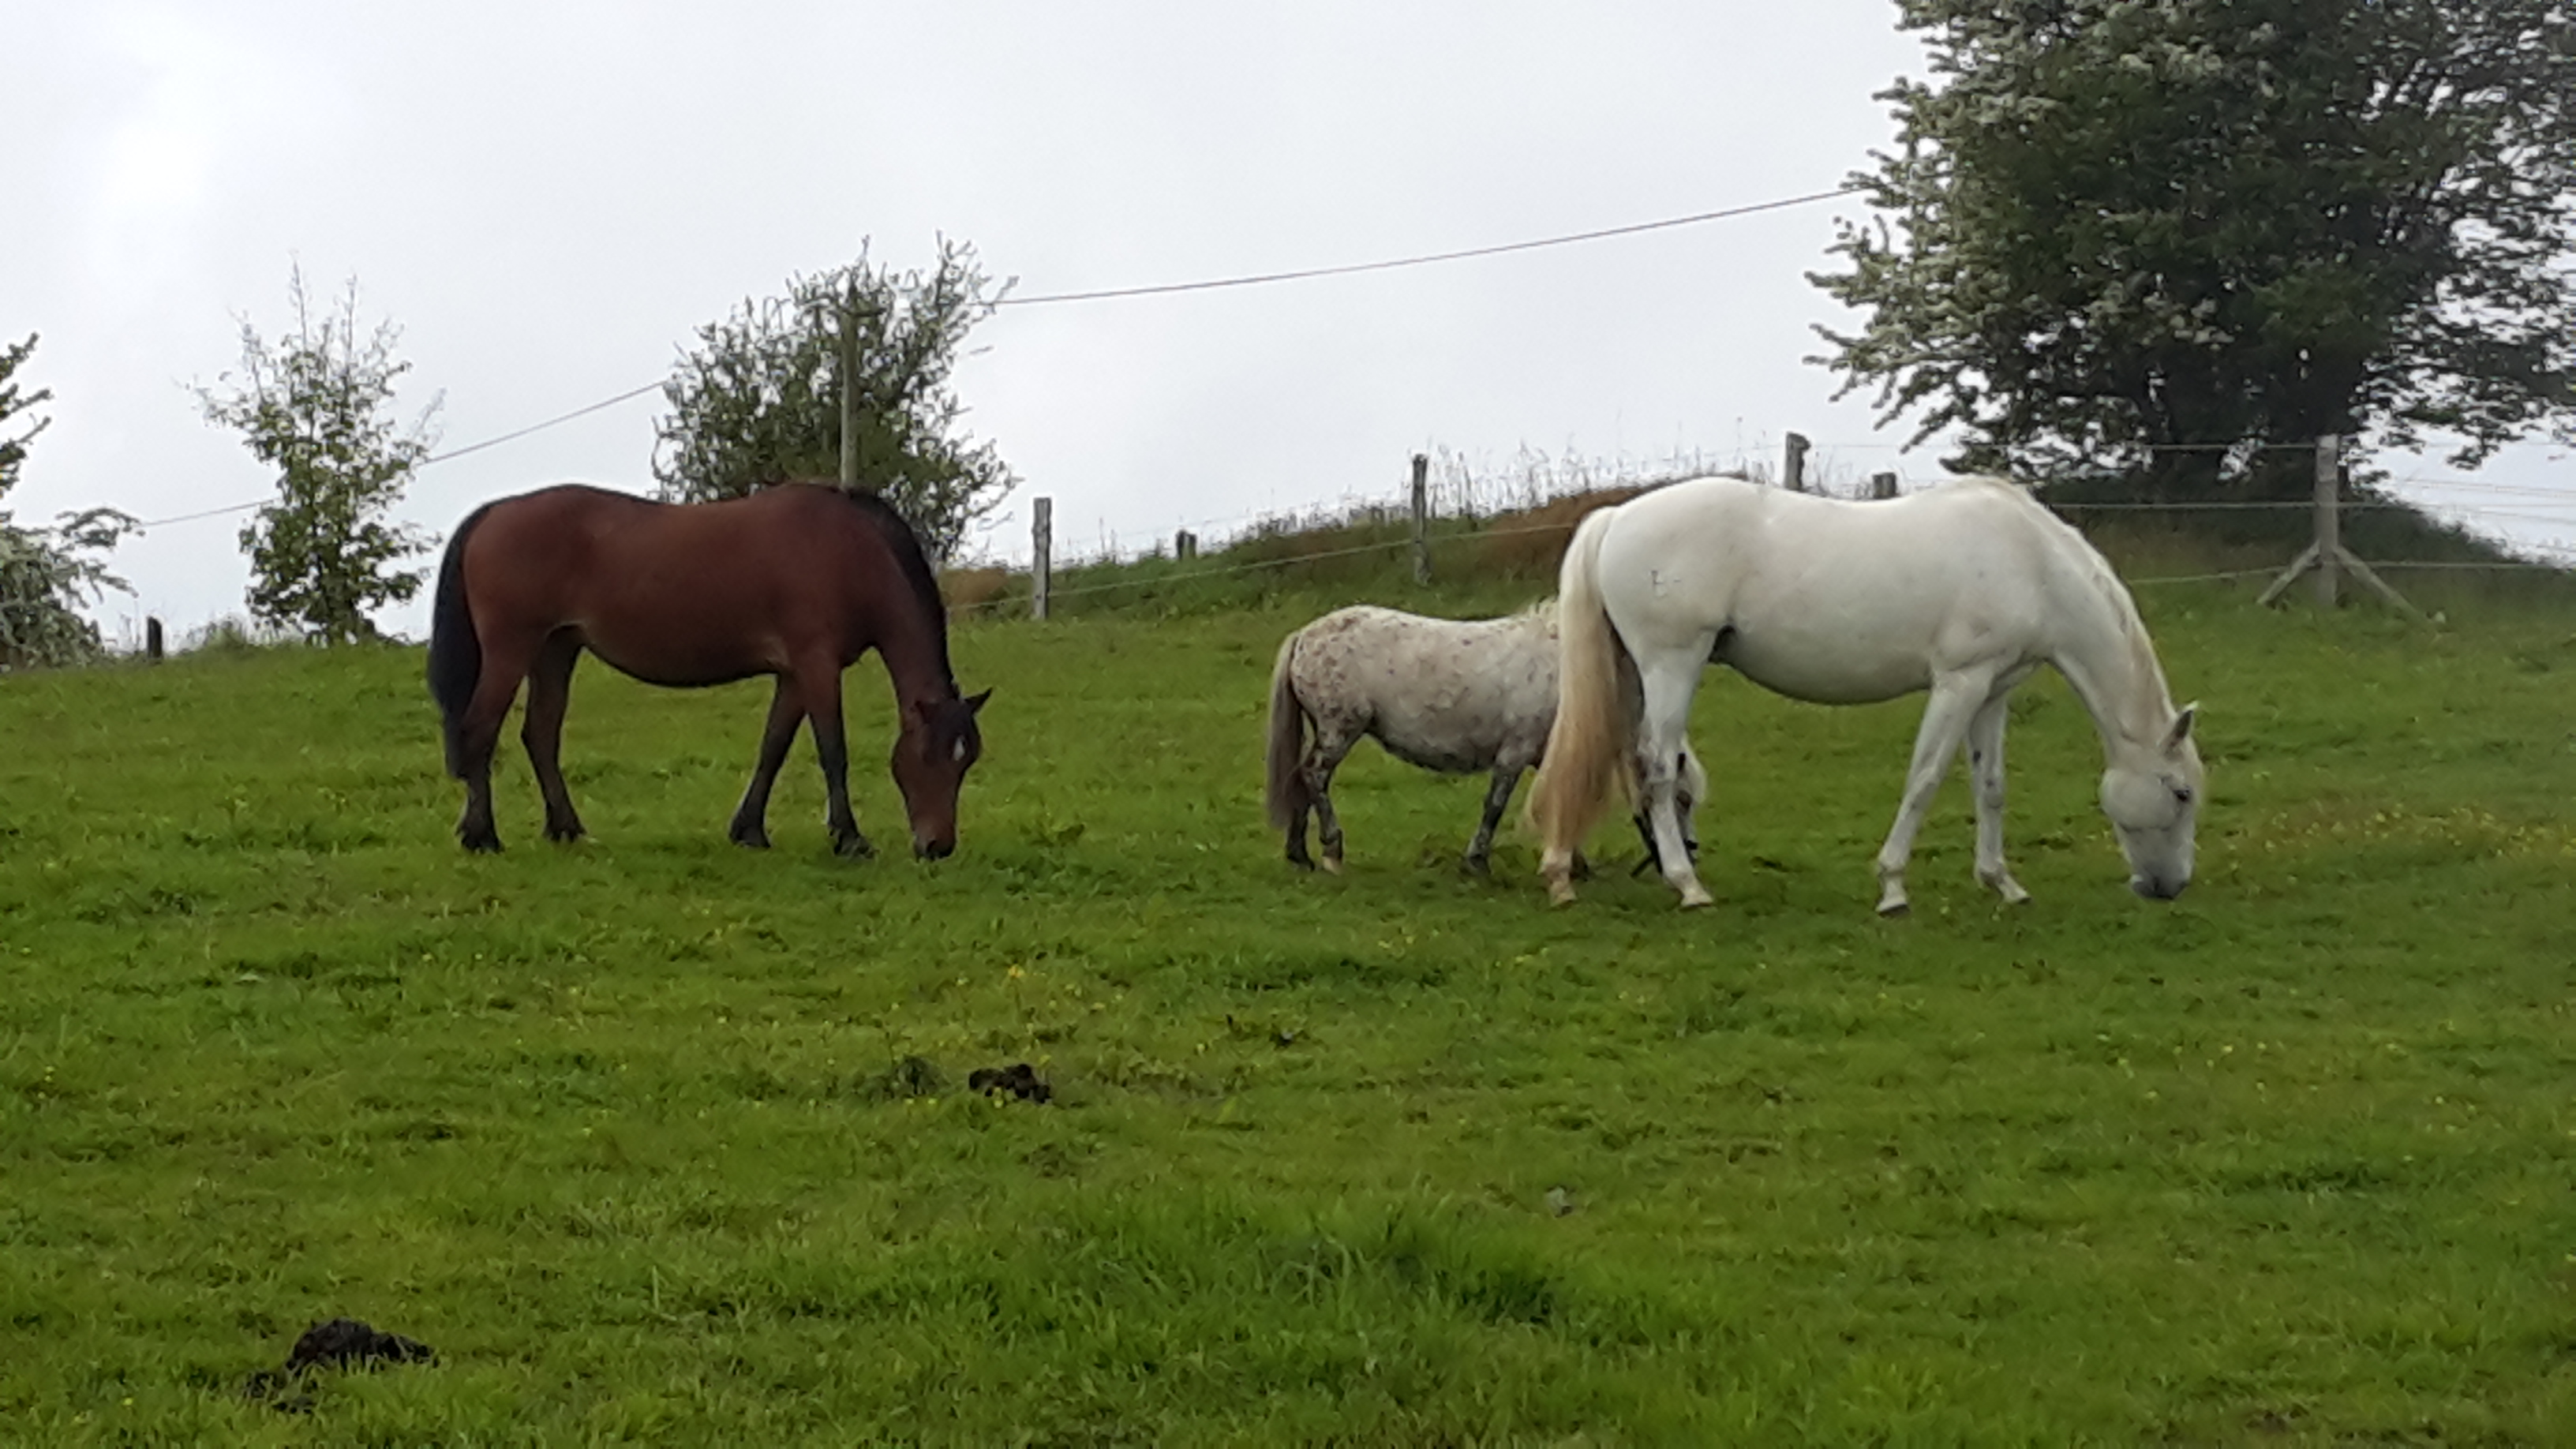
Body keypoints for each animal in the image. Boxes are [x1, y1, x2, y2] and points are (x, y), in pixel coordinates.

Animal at [422, 479, 983, 851]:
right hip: (511, 650)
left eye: (967, 760)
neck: (848, 551)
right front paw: (848, 838)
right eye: (930, 756)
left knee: (539, 735)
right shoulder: (817, 664)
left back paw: (567, 829)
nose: (938, 847)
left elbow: (773, 747)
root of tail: (496, 512)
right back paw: (482, 836)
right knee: (479, 731)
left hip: (555, 651)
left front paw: (749, 830)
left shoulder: (794, 674)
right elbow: (832, 750)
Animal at [1267, 597, 1710, 866]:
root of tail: (1304, 636)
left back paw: (1298, 853)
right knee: (1314, 777)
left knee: (1301, 780)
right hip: (1339, 730)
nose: (1691, 853)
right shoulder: (1513, 755)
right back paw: (1331, 847)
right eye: (1681, 799)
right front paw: (1477, 861)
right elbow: (1494, 807)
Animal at [1515, 474, 2204, 907]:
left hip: (1637, 672)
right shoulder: (1958, 683)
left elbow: (1990, 787)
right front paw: (1893, 887)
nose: (2170, 886)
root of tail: (1617, 518)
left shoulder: (1992, 690)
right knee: (1657, 767)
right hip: (1671, 665)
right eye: (2181, 792)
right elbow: (1925, 779)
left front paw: (2001, 883)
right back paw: (1688, 886)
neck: (2030, 562)